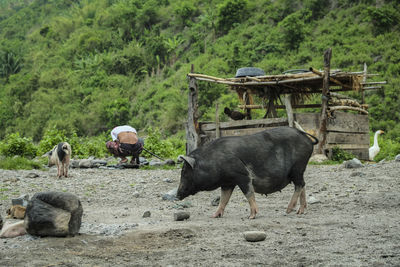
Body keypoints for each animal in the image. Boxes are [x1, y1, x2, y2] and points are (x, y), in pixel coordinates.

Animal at [178, 127, 318, 220]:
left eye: (184, 171)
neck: (213, 161)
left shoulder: (242, 175)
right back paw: (300, 212)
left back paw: (288, 210)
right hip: (299, 170)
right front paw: (214, 216)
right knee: (302, 185)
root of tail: (305, 136)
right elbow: (224, 199)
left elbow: (249, 193)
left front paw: (251, 216)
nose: (177, 195)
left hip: (298, 167)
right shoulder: (227, 183)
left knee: (300, 185)